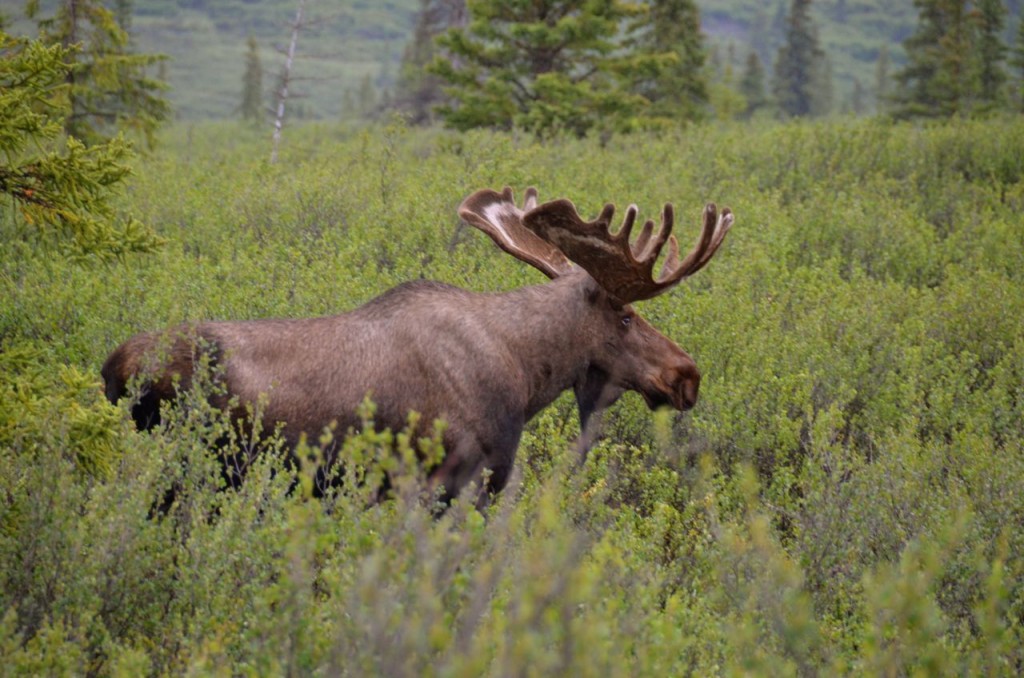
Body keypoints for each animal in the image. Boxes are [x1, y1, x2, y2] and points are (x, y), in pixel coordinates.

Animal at [101, 187, 733, 506]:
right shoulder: (459, 476)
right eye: (626, 315)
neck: (527, 374)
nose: (687, 375)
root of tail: (114, 368)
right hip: (193, 468)